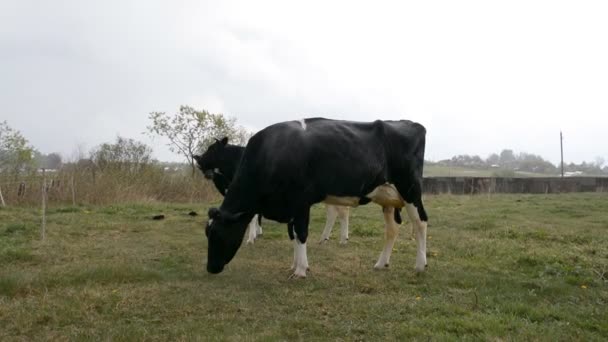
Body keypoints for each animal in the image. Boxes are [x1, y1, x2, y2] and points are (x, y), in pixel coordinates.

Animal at [191, 138, 352, 244]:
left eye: (212, 148)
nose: (198, 160)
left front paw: (251, 237)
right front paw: (257, 233)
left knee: (342, 212)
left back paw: (343, 239)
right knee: (333, 213)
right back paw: (324, 237)